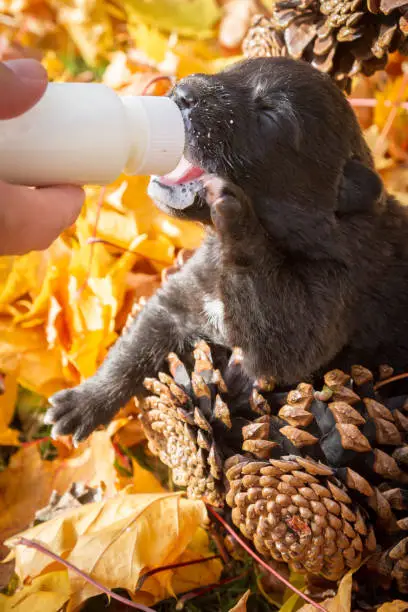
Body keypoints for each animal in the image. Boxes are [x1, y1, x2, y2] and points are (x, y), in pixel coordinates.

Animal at [46, 57, 408, 442]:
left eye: (270, 114)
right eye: (230, 70)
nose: (183, 91)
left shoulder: (329, 299)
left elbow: (283, 342)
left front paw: (236, 214)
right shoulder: (177, 301)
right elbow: (132, 348)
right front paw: (84, 401)